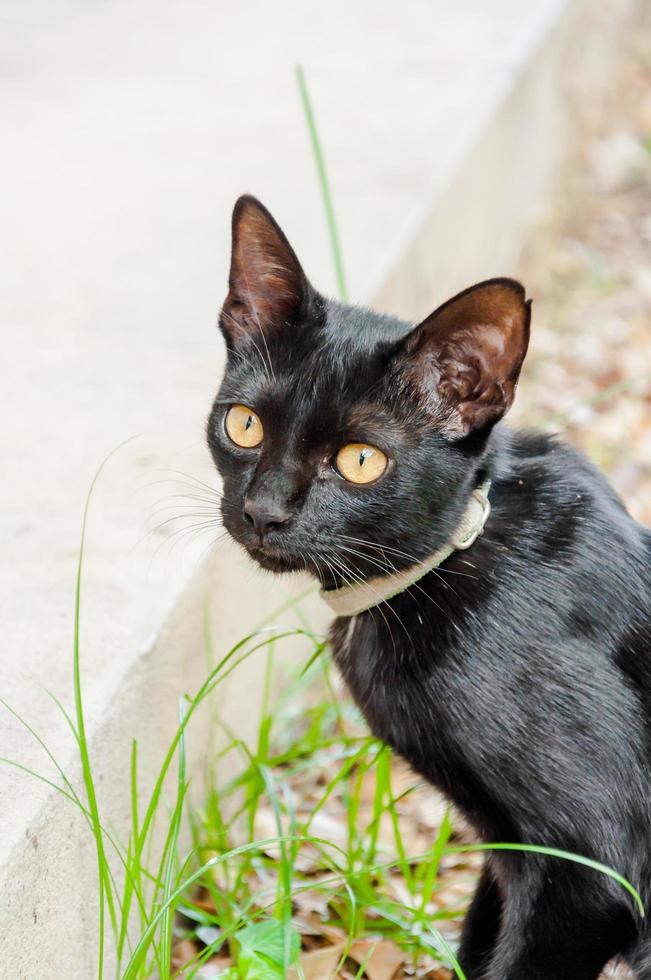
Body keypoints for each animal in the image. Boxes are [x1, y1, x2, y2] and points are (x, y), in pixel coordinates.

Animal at [208, 193, 651, 980]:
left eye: (360, 460)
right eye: (245, 424)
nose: (264, 511)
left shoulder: (587, 867)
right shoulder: (506, 850)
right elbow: (478, 941)